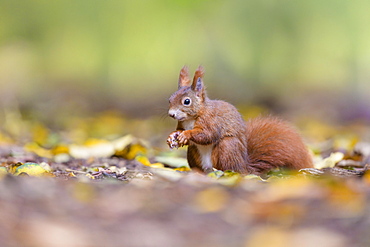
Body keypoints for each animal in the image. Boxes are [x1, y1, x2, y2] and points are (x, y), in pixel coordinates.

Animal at [168, 64, 312, 175]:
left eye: (187, 101)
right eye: (169, 99)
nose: (171, 114)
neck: (191, 118)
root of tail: (244, 167)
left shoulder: (212, 120)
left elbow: (208, 134)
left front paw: (186, 134)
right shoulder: (182, 123)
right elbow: (181, 131)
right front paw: (172, 136)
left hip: (227, 148)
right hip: (193, 153)